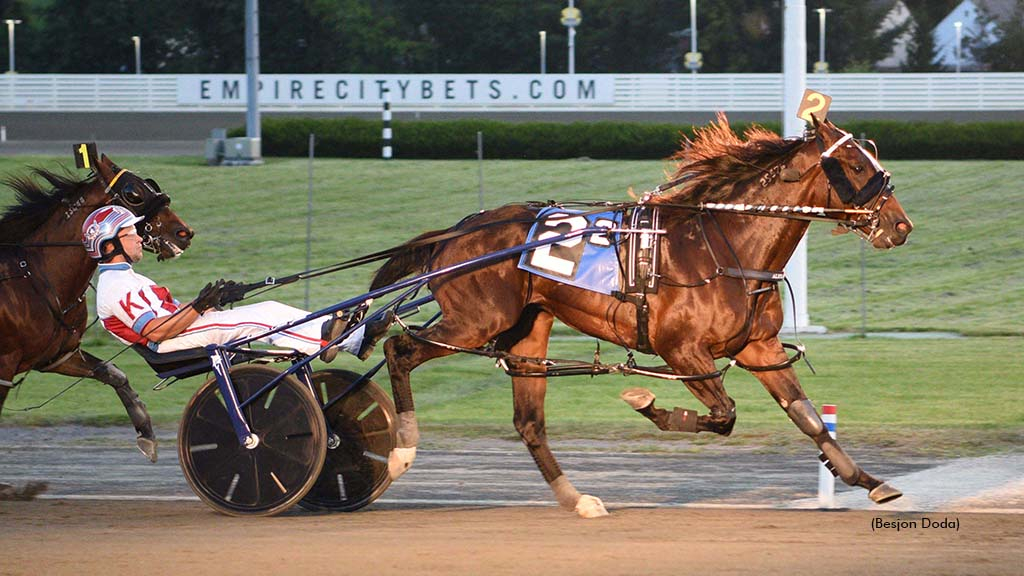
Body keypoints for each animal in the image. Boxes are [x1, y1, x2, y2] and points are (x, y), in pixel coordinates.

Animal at [0, 152, 192, 461]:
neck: (33, 277)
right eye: (133, 193)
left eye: (150, 184)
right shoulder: (4, 368)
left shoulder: (58, 355)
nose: (184, 232)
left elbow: (114, 374)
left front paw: (146, 432)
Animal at [372, 113, 917, 516]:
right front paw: (647, 403)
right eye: (856, 165)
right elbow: (723, 415)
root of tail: (455, 232)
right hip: (474, 321)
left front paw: (868, 480)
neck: (725, 246)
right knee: (398, 348)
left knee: (529, 422)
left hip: (527, 329)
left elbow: (807, 418)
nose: (901, 226)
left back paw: (578, 499)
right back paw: (401, 450)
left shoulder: (758, 347)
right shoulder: (681, 349)